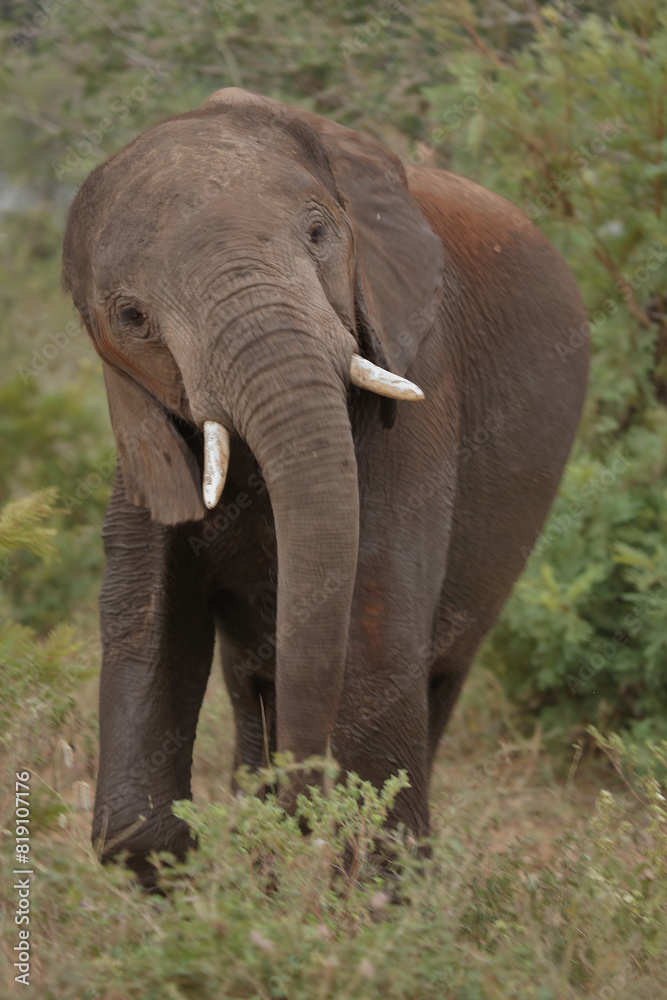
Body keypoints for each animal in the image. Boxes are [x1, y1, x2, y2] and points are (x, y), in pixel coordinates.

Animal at [62, 87, 588, 886]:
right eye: (131, 317)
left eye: (317, 233)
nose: (298, 810)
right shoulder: (143, 427)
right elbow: (146, 615)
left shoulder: (415, 363)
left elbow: (373, 619)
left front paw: (363, 882)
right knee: (254, 680)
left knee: (437, 667)